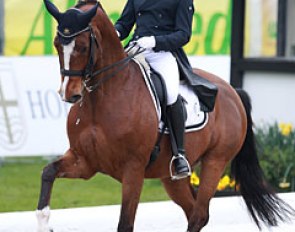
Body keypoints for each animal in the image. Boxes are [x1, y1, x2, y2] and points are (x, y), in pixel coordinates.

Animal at [38, 0, 294, 231]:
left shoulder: (133, 169)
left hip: (215, 162)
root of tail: (232, 91)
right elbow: (48, 172)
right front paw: (43, 221)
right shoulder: (85, 161)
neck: (102, 100)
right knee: (193, 210)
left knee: (199, 215)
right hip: (172, 177)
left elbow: (125, 224)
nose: (69, 94)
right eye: (57, 45)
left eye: (82, 46)